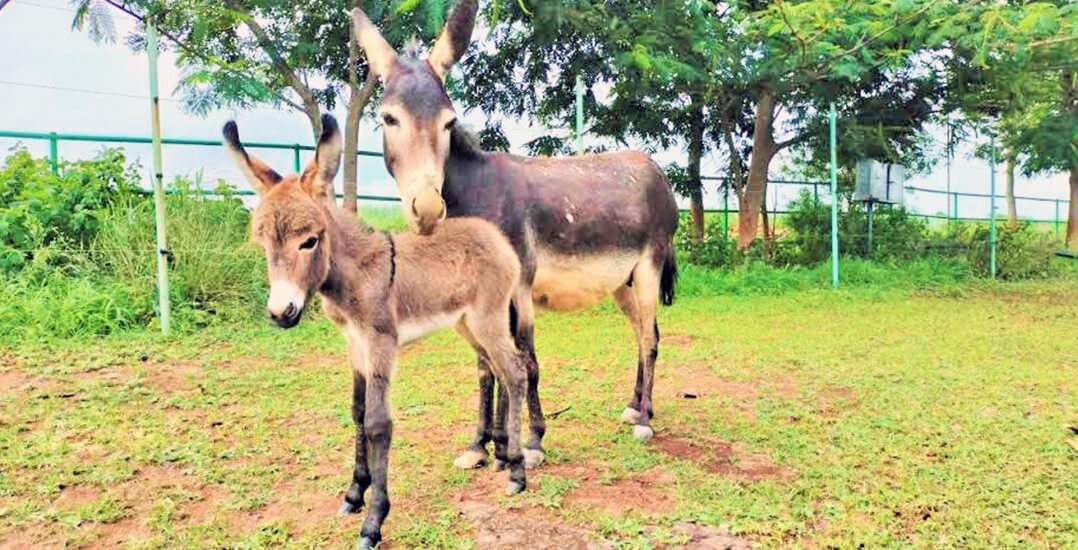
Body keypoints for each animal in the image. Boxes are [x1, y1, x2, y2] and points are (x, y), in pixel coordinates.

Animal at [225, 113, 528, 547]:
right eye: (263, 242)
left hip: (488, 318)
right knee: (497, 372)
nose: (281, 313)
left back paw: (518, 471)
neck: (354, 273)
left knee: (516, 373)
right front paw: (354, 493)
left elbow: (378, 423)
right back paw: (500, 455)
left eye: (309, 241)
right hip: (468, 323)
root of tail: (496, 236)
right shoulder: (354, 343)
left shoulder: (381, 340)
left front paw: (374, 520)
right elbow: (356, 411)